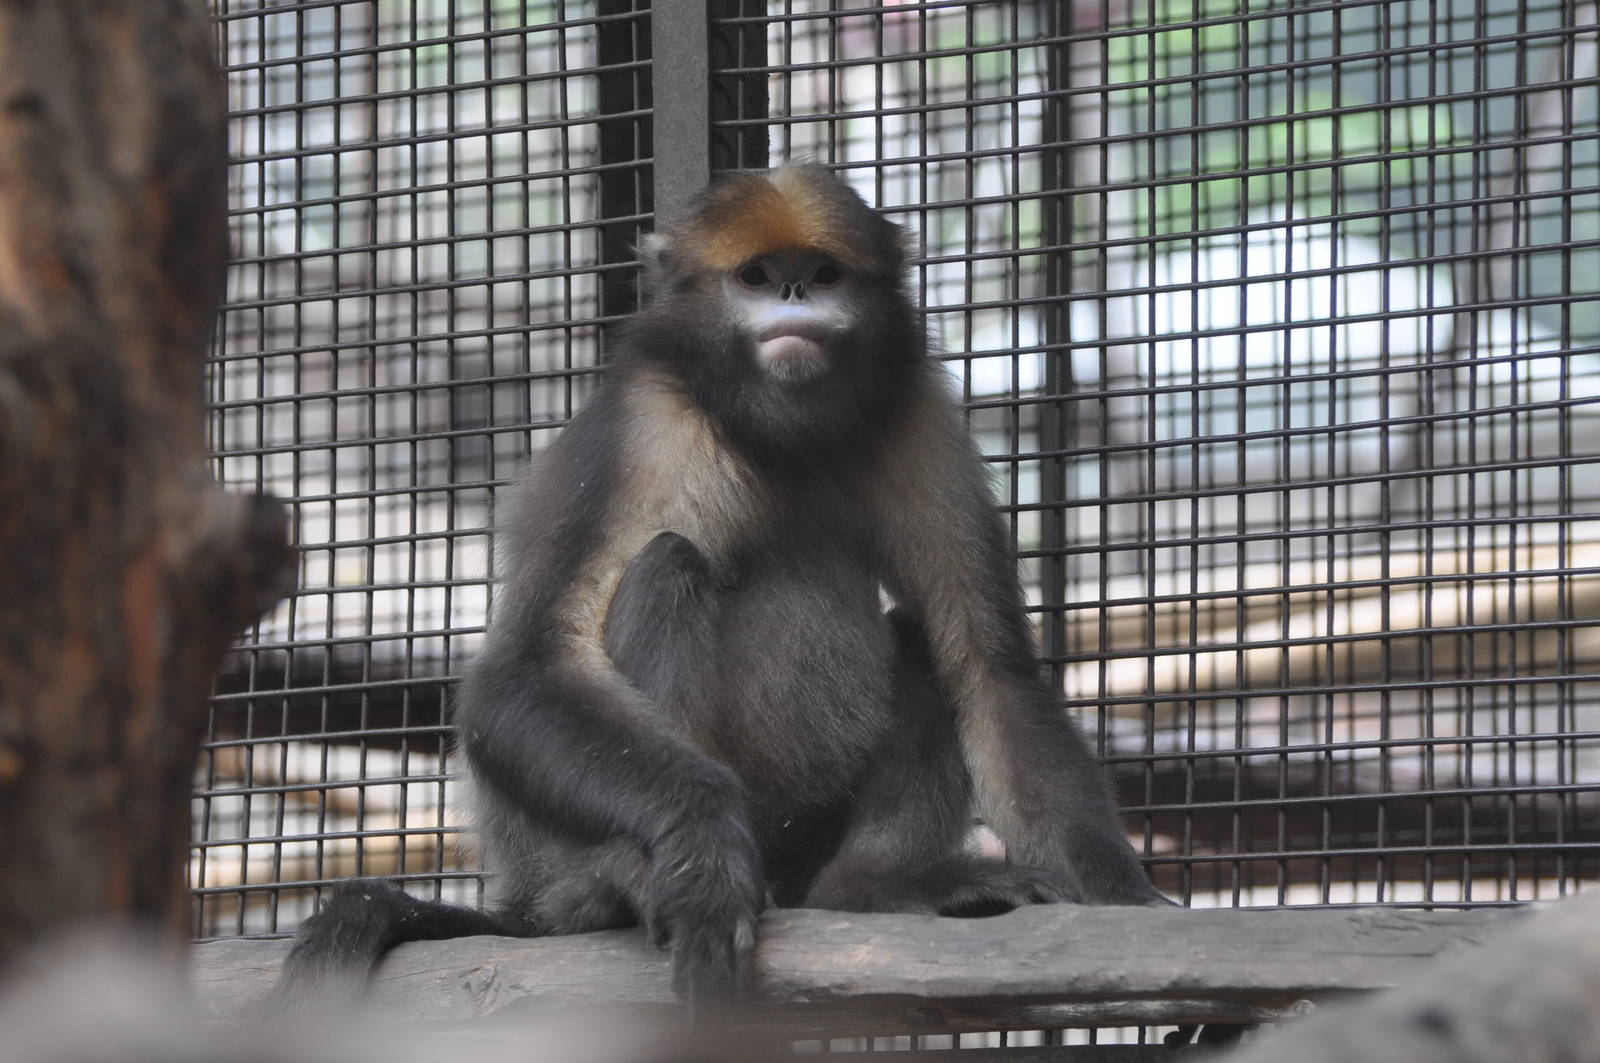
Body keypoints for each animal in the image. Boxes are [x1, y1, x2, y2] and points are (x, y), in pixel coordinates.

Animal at [263, 162, 1168, 1018]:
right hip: (558, 853)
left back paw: (869, 888)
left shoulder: (916, 415)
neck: (783, 434)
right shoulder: (646, 422)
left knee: (920, 640)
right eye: (757, 277)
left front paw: (1125, 900)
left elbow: (989, 667)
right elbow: (525, 666)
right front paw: (701, 852)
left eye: (823, 274)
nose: (795, 295)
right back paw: (622, 887)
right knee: (666, 564)